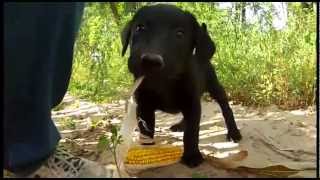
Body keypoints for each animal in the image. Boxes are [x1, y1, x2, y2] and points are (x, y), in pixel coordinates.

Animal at [121, 3, 241, 167]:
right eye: (140, 27)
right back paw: (180, 125)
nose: (151, 61)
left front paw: (192, 156)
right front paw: (147, 151)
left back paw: (234, 131)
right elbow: (146, 131)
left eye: (179, 34)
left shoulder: (192, 102)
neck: (164, 82)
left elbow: (191, 132)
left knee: (226, 108)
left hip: (214, 86)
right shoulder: (144, 106)